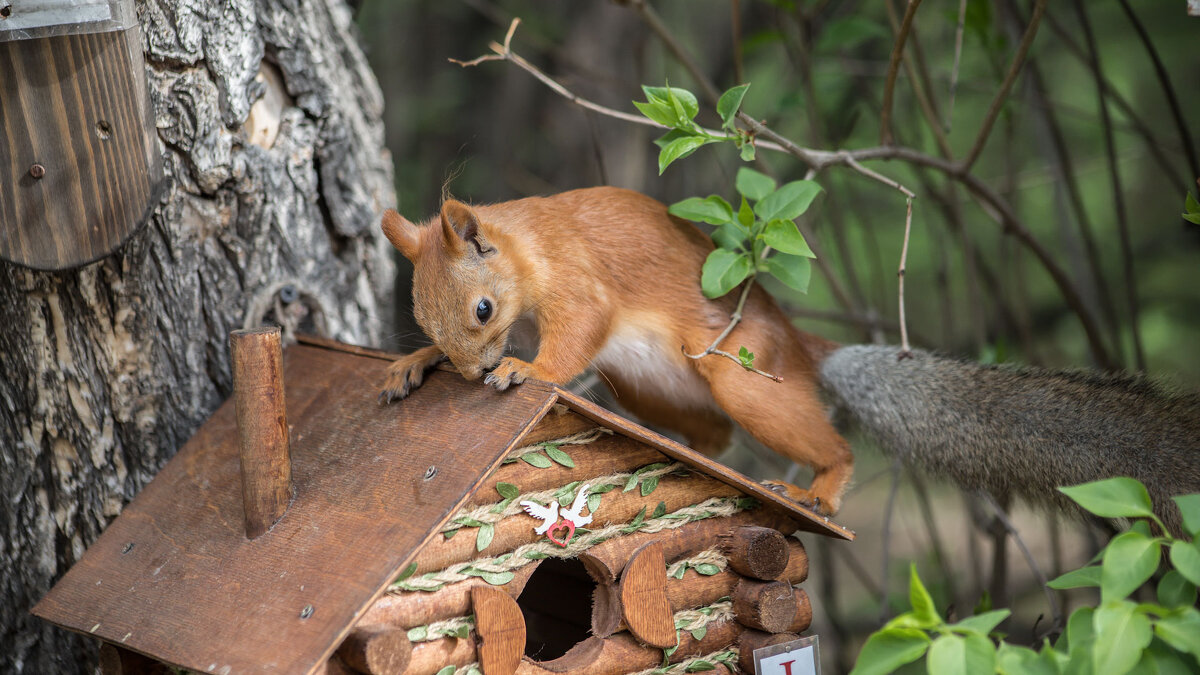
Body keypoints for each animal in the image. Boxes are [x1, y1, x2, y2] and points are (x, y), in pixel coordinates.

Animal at [379, 186, 849, 511]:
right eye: (423, 321)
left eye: (483, 309)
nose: (473, 374)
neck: (531, 244)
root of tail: (794, 337)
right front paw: (415, 361)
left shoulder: (575, 279)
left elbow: (582, 327)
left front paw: (530, 370)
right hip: (649, 392)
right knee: (716, 433)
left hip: (746, 377)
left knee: (834, 449)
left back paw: (815, 493)